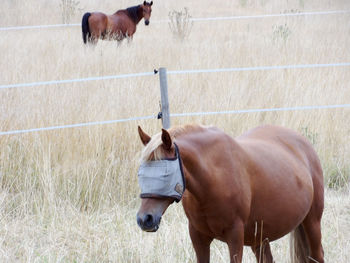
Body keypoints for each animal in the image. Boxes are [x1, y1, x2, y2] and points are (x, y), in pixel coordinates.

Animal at [137, 125, 326, 263]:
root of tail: (302, 142)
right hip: (261, 235)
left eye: (165, 175)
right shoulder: (198, 236)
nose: (144, 219)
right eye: (141, 173)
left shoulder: (235, 236)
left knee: (317, 255)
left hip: (312, 222)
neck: (212, 180)